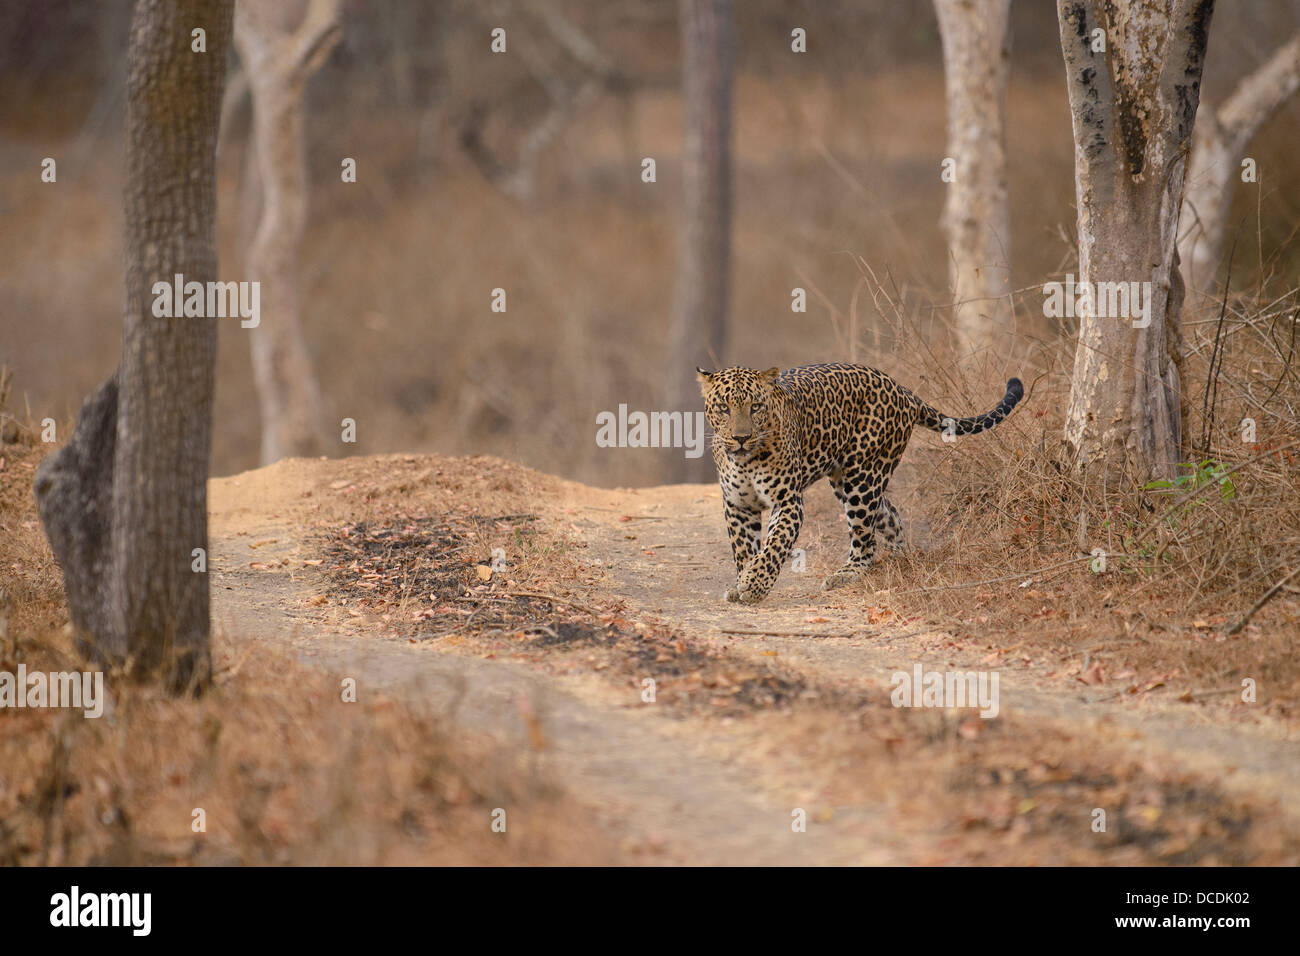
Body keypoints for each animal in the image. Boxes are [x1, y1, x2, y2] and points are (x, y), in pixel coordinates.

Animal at [696, 361, 1019, 600]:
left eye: (755, 407)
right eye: (723, 407)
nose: (740, 438)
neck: (745, 460)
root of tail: (902, 389)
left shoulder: (787, 501)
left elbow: (774, 545)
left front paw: (754, 586)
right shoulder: (738, 505)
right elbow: (743, 549)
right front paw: (742, 582)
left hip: (862, 479)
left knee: (865, 541)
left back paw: (845, 575)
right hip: (850, 482)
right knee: (890, 517)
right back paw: (899, 563)